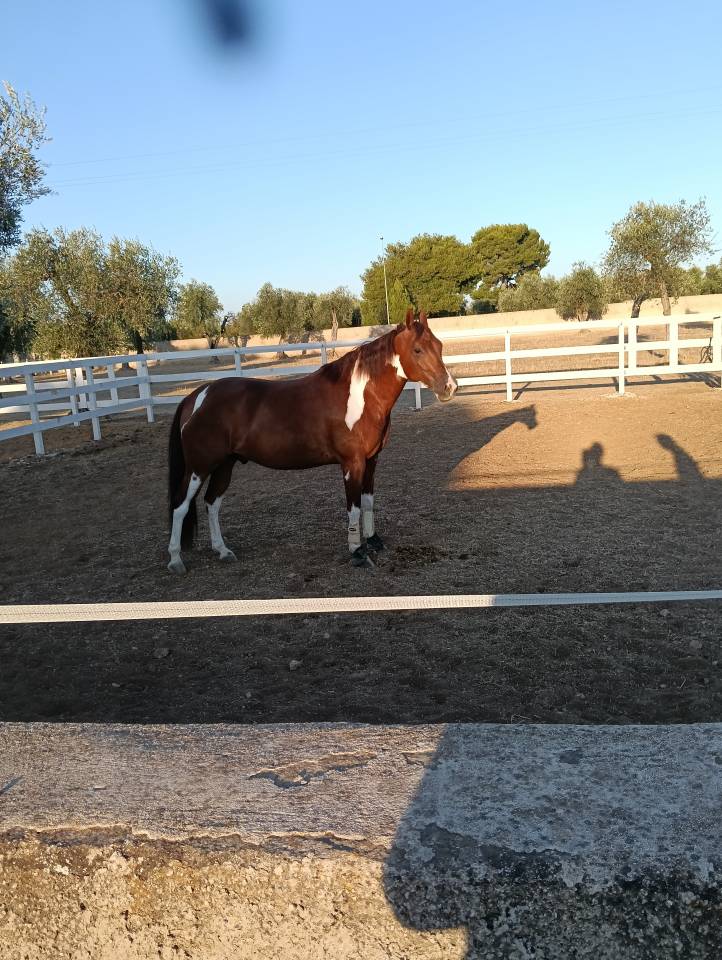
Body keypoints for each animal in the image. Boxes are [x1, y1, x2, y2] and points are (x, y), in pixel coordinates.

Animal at [166, 308, 458, 574]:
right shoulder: (352, 464)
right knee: (180, 505)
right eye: (418, 349)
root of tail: (196, 396)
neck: (359, 397)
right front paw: (357, 551)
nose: (449, 387)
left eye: (439, 346)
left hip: (224, 465)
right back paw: (176, 559)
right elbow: (353, 508)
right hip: (199, 467)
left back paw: (222, 550)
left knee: (212, 503)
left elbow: (368, 503)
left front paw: (373, 541)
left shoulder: (371, 461)